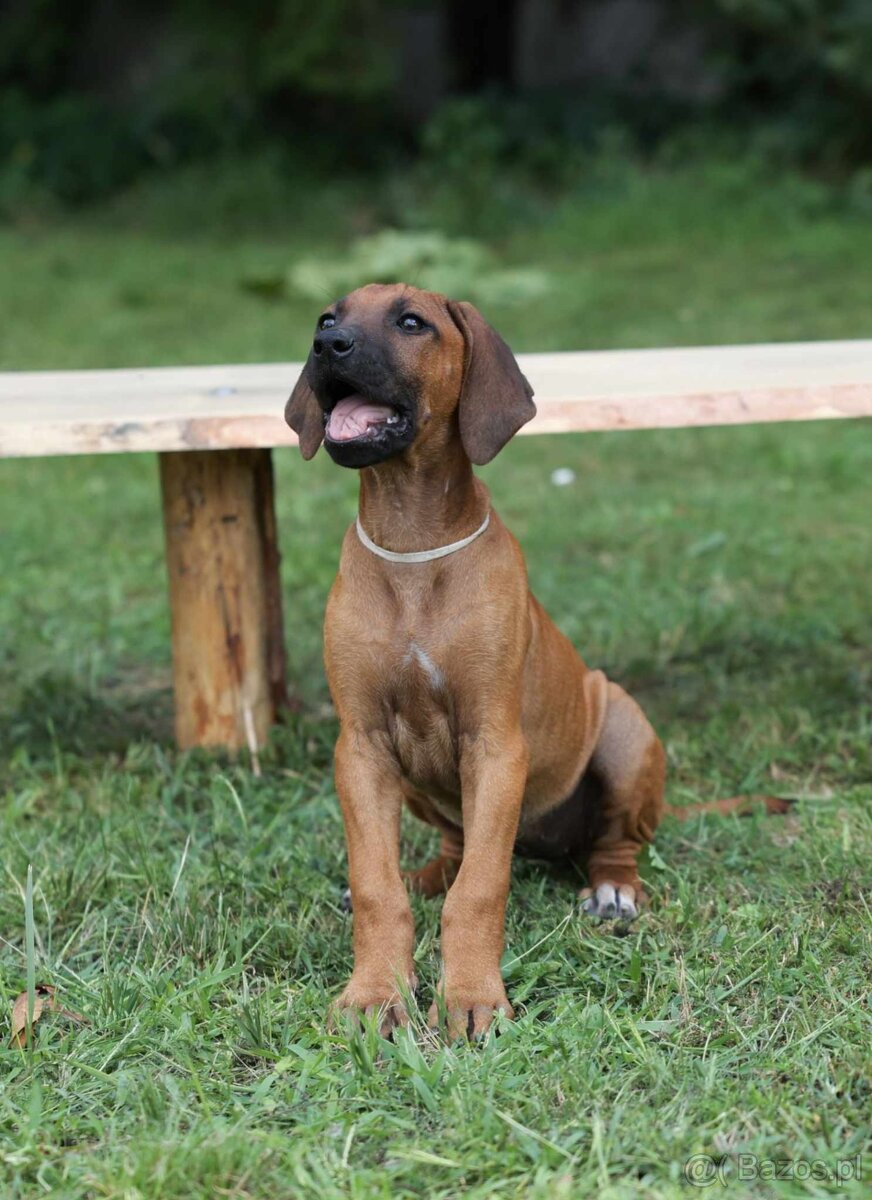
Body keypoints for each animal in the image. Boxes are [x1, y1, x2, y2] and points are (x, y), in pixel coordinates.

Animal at [283, 283, 666, 1041]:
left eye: (411, 322)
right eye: (327, 317)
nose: (326, 346)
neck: (412, 543)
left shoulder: (495, 744)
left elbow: (483, 889)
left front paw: (469, 997)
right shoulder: (361, 748)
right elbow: (378, 885)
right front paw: (374, 993)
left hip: (621, 722)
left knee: (614, 840)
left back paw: (612, 889)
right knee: (451, 853)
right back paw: (425, 876)